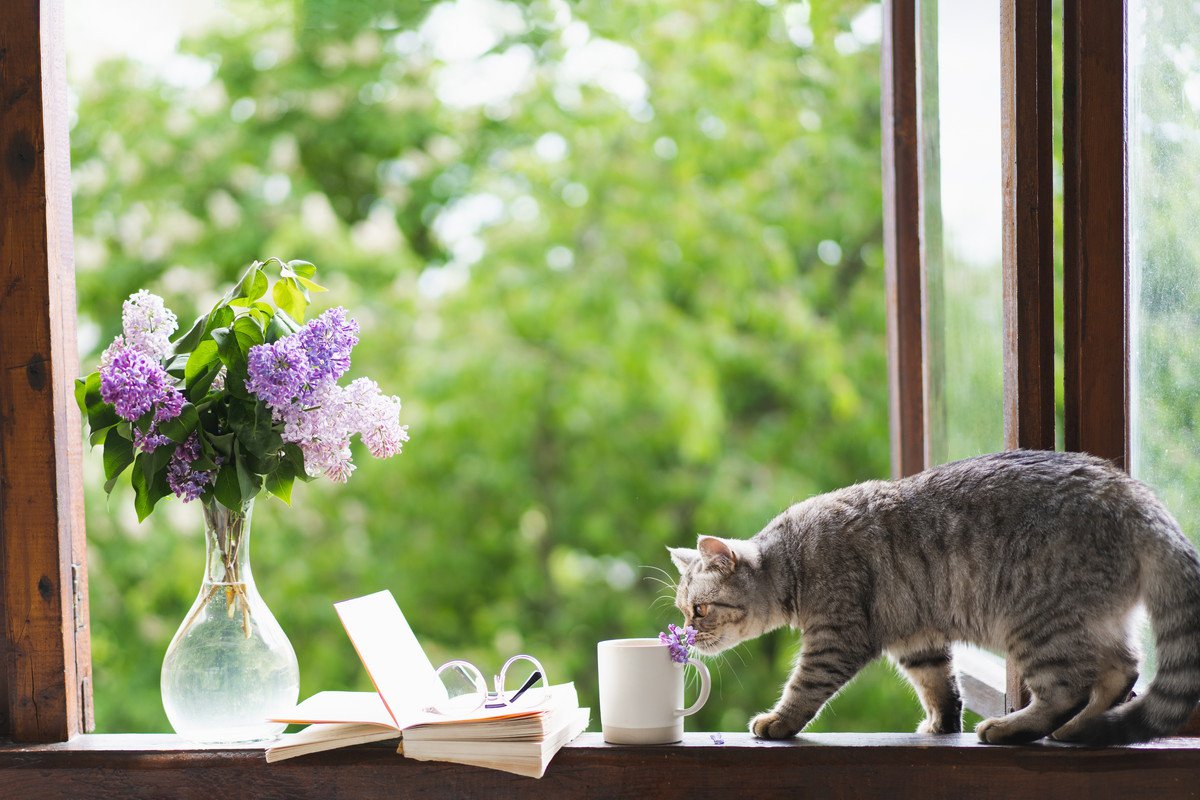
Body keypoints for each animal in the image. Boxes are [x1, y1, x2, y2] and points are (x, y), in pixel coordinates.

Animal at [672, 450, 1200, 743]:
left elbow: (803, 687)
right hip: (1091, 621)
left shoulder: (835, 638)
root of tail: (1133, 494)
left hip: (1038, 626)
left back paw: (1014, 728)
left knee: (1068, 689)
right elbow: (940, 687)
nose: (687, 637)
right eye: (683, 611)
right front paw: (943, 725)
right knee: (1123, 670)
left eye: (700, 610)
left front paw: (778, 722)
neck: (793, 560)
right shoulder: (918, 637)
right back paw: (1080, 730)